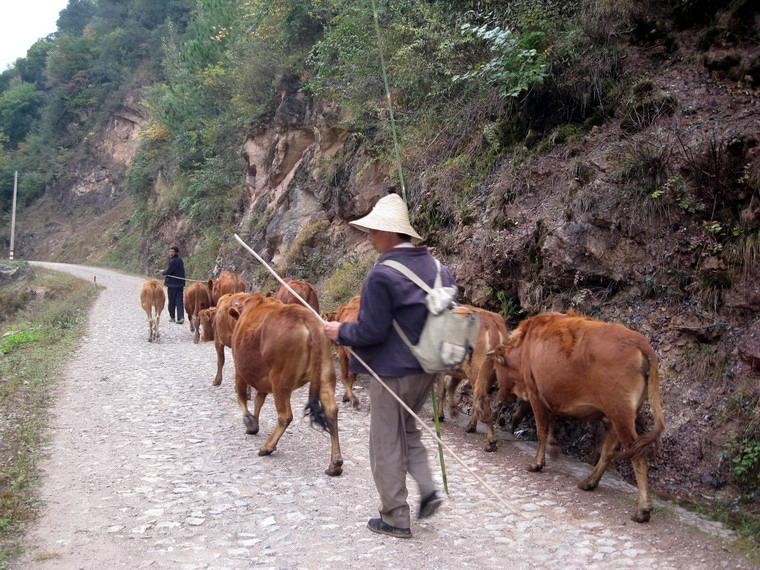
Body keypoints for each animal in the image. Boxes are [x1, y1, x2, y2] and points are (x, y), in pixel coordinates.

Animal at [227, 292, 342, 474]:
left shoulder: (240, 370)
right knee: (331, 411)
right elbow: (259, 400)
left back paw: (267, 447)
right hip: (326, 376)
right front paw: (254, 422)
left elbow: (242, 396)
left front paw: (250, 422)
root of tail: (305, 317)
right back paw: (335, 464)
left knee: (285, 415)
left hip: (280, 382)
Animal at [490, 312, 664, 520]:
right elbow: (550, 426)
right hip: (617, 417)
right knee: (607, 452)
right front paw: (553, 449)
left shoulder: (535, 395)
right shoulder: (549, 398)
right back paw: (589, 482)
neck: (526, 345)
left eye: (497, 368)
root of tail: (640, 342)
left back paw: (642, 509)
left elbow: (542, 430)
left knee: (636, 455)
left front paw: (537, 463)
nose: (499, 397)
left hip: (621, 415)